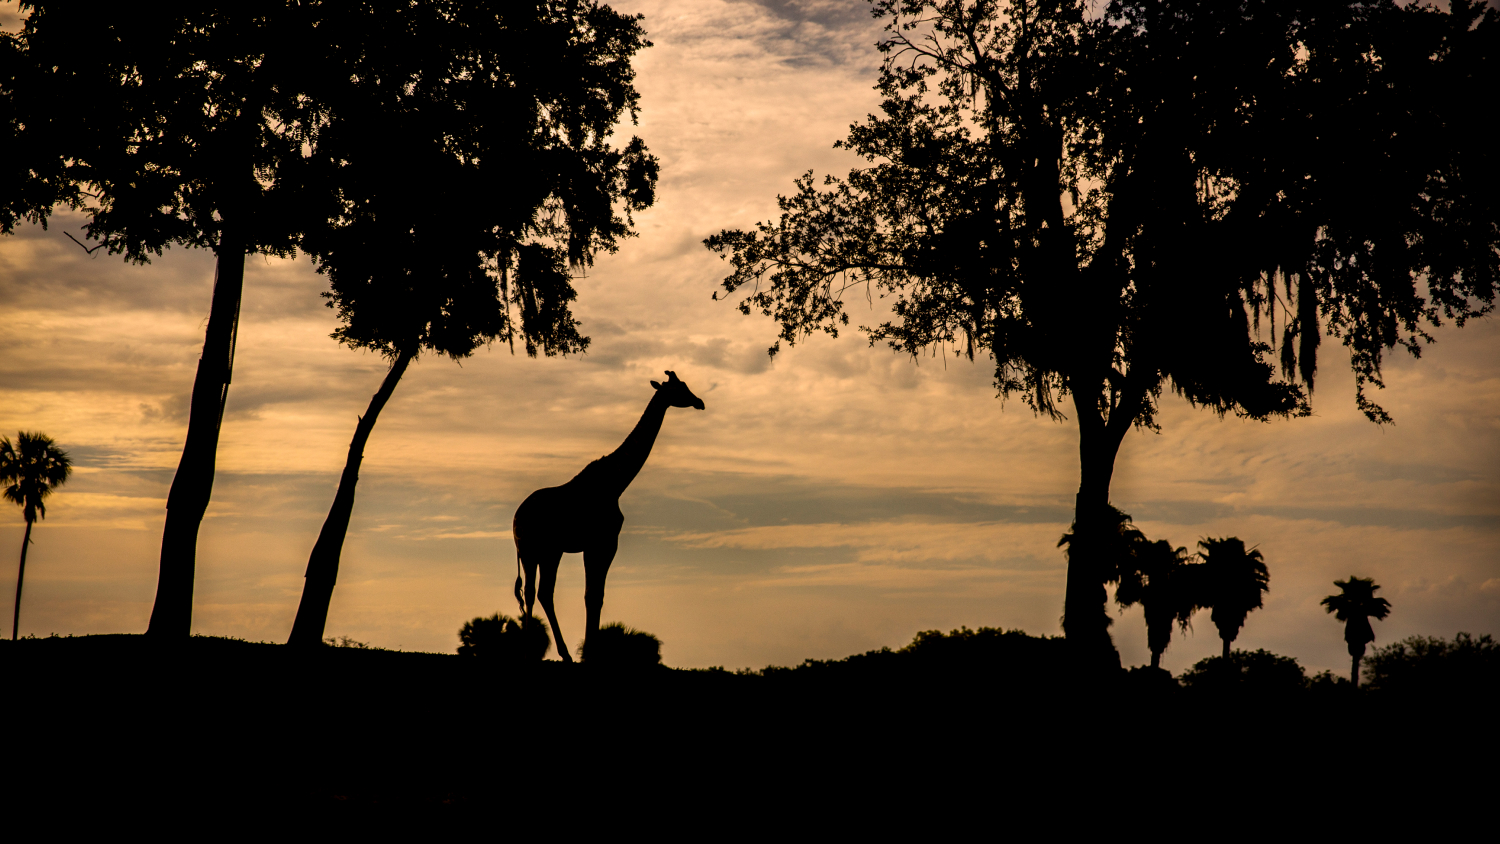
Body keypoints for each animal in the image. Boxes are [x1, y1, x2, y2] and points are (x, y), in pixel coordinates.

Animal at [512, 370, 704, 662]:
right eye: (680, 388)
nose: (699, 402)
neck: (616, 482)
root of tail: (516, 518)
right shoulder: (602, 542)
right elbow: (593, 595)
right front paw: (590, 653)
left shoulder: (598, 544)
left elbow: (595, 595)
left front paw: (589, 651)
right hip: (537, 550)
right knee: (538, 592)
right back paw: (545, 652)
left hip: (542, 551)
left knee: (538, 592)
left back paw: (547, 651)